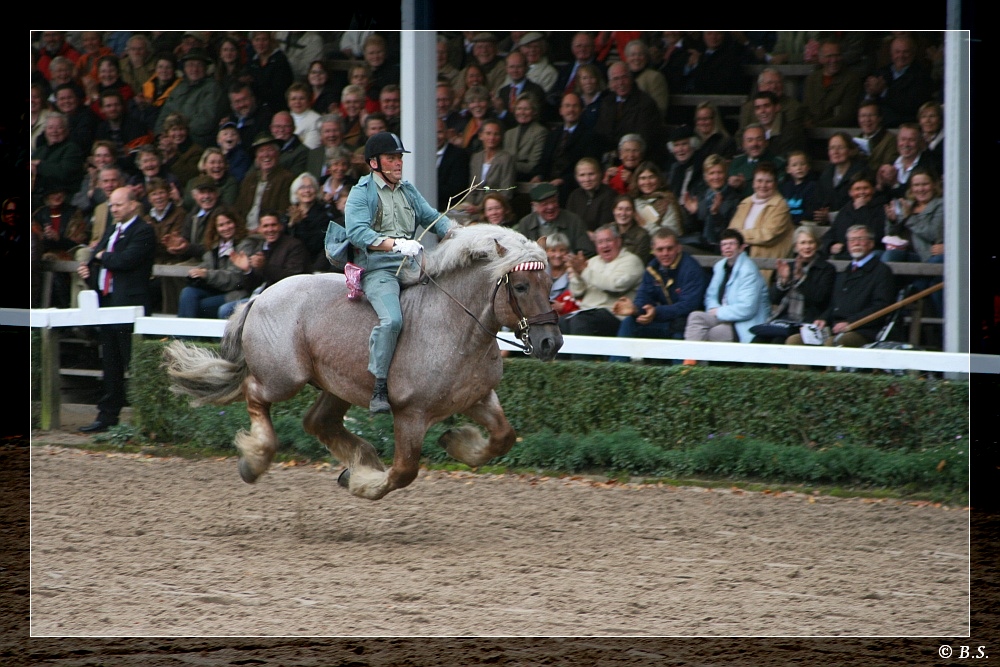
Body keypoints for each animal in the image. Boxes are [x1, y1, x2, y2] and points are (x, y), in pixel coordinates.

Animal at [168, 224, 568, 500]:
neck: (455, 327)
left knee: (317, 421)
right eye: (520, 287)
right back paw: (256, 460)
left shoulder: (479, 398)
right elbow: (405, 471)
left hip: (336, 385)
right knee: (255, 393)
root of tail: (259, 297)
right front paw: (362, 484)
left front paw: (455, 441)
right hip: (284, 379)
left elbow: (503, 437)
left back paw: (359, 460)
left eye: (549, 283)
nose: (551, 342)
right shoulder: (410, 415)